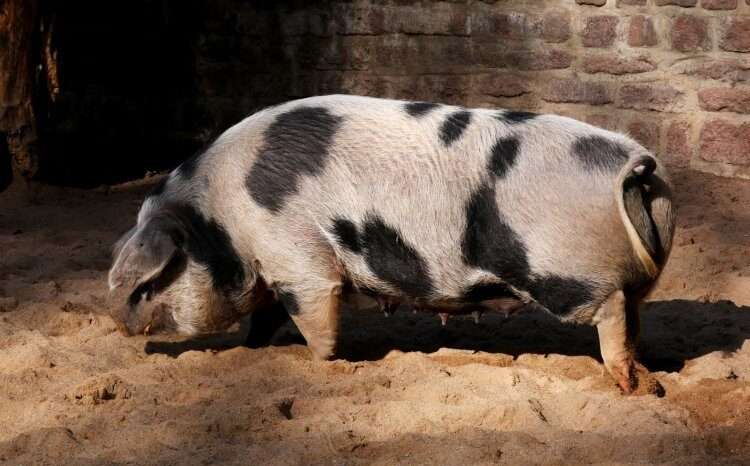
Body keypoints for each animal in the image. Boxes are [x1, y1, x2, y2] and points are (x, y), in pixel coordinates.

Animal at [108, 95, 675, 394]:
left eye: (149, 284)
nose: (116, 320)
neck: (219, 221)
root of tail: (635, 164)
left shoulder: (298, 260)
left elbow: (315, 316)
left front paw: (322, 362)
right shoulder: (273, 269)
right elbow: (264, 320)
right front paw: (250, 351)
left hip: (567, 273)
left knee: (609, 313)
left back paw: (628, 387)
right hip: (632, 280)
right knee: (633, 315)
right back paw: (649, 381)